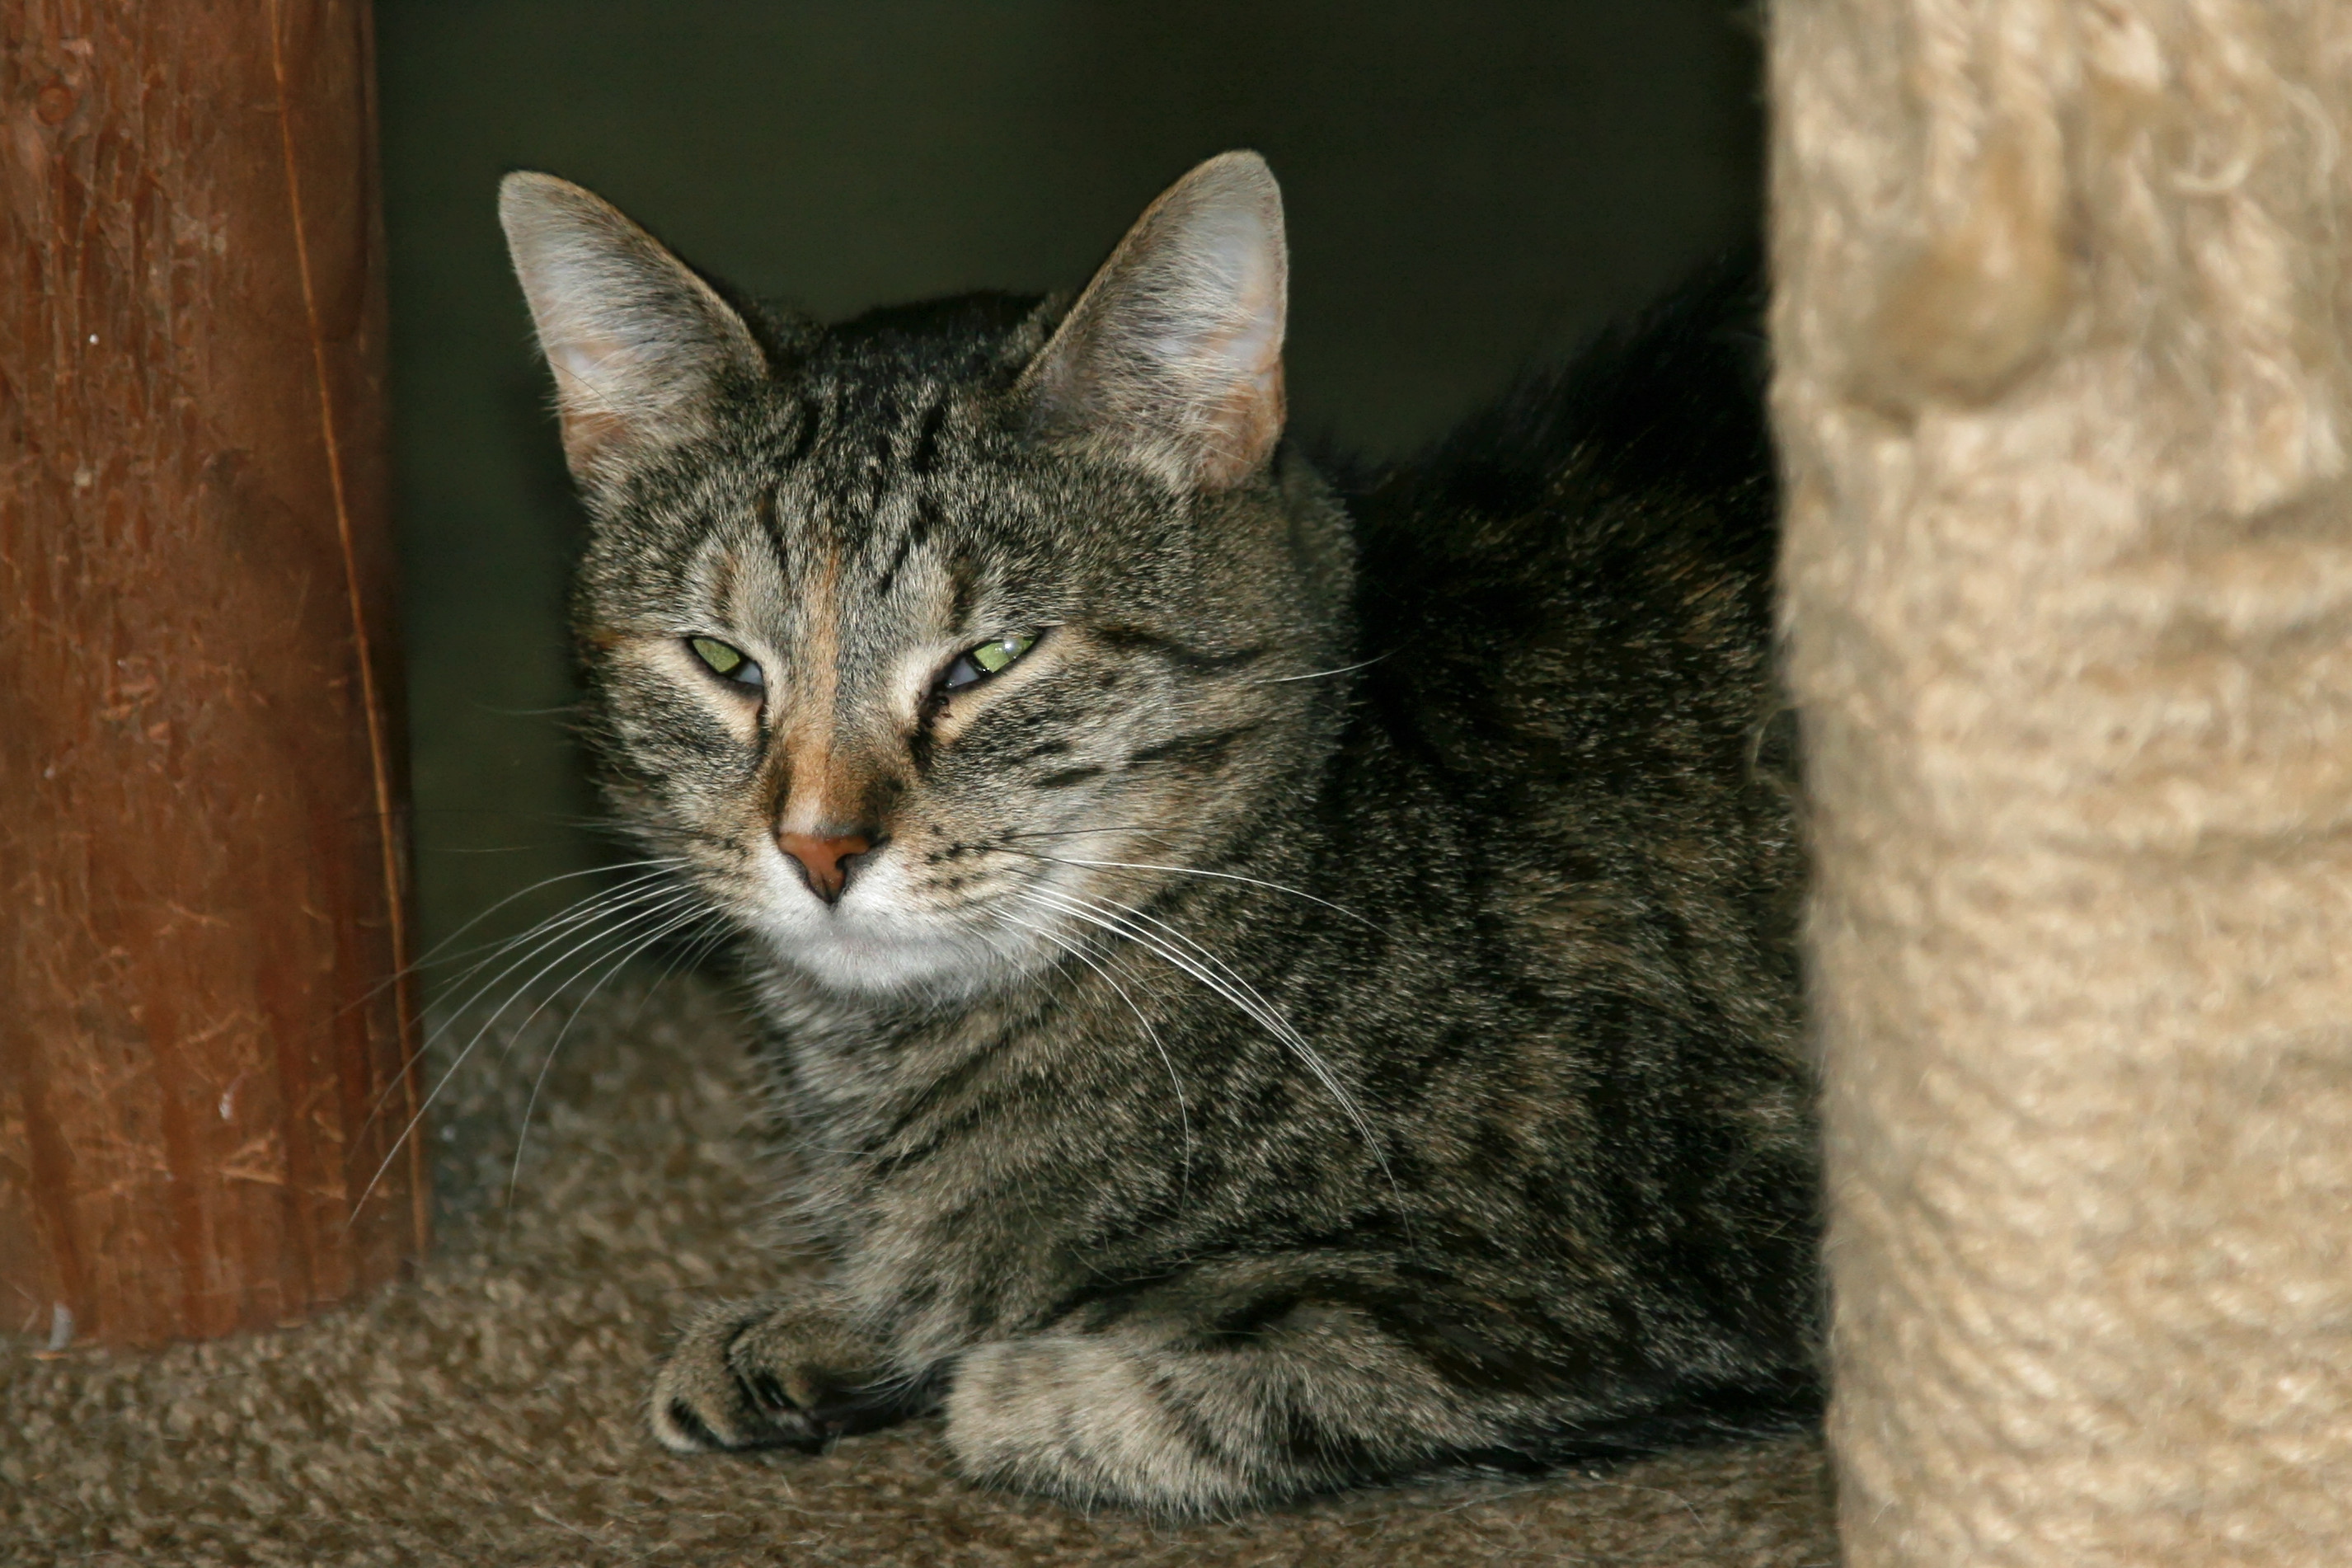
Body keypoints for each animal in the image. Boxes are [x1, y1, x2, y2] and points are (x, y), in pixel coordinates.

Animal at [500, 153, 1815, 1514]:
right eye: (723, 661)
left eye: (990, 659)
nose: (819, 847)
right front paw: (833, 1321)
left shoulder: (1599, 1300)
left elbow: (1100, 1382)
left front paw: (983, 1350)